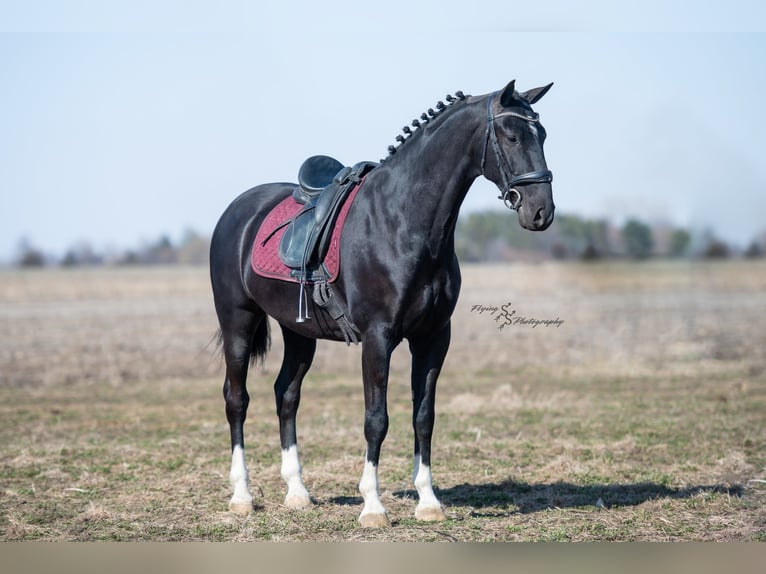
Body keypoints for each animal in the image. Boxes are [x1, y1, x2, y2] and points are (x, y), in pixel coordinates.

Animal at [209, 79, 555, 527]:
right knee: (237, 400)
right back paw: (242, 496)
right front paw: (373, 506)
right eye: (511, 136)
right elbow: (376, 419)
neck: (404, 222)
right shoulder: (378, 338)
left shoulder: (433, 338)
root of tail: (237, 210)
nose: (541, 211)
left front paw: (428, 502)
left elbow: (423, 417)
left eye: (542, 135)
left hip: (299, 332)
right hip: (238, 320)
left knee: (286, 395)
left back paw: (297, 492)